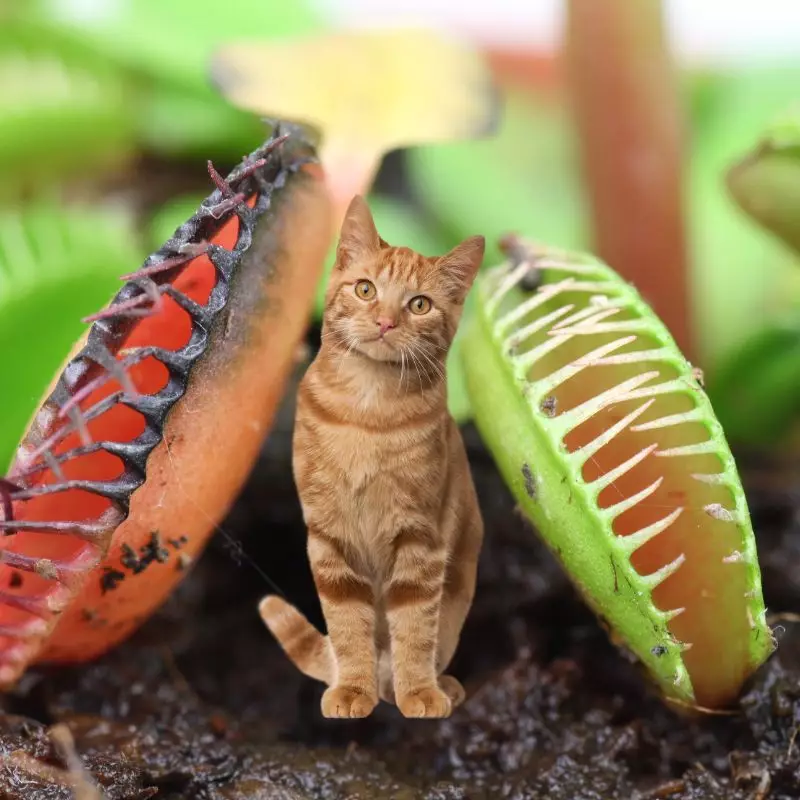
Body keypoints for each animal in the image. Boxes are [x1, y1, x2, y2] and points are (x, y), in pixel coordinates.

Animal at [260, 194, 484, 720]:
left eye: (419, 304)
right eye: (366, 290)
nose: (385, 321)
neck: (367, 409)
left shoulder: (420, 537)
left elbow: (415, 626)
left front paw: (419, 692)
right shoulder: (329, 535)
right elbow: (347, 623)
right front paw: (352, 690)